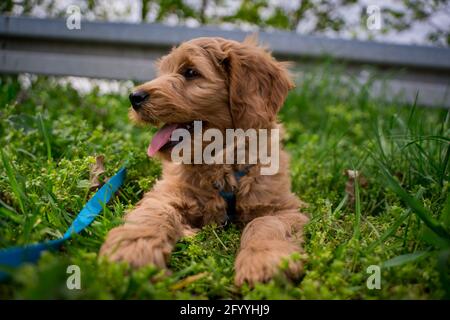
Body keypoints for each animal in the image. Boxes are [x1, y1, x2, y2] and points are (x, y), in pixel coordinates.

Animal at [100, 36, 308, 286]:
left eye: (190, 72)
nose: (134, 97)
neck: (220, 162)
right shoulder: (166, 193)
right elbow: (152, 215)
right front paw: (131, 250)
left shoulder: (282, 207)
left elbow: (264, 224)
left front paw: (264, 262)